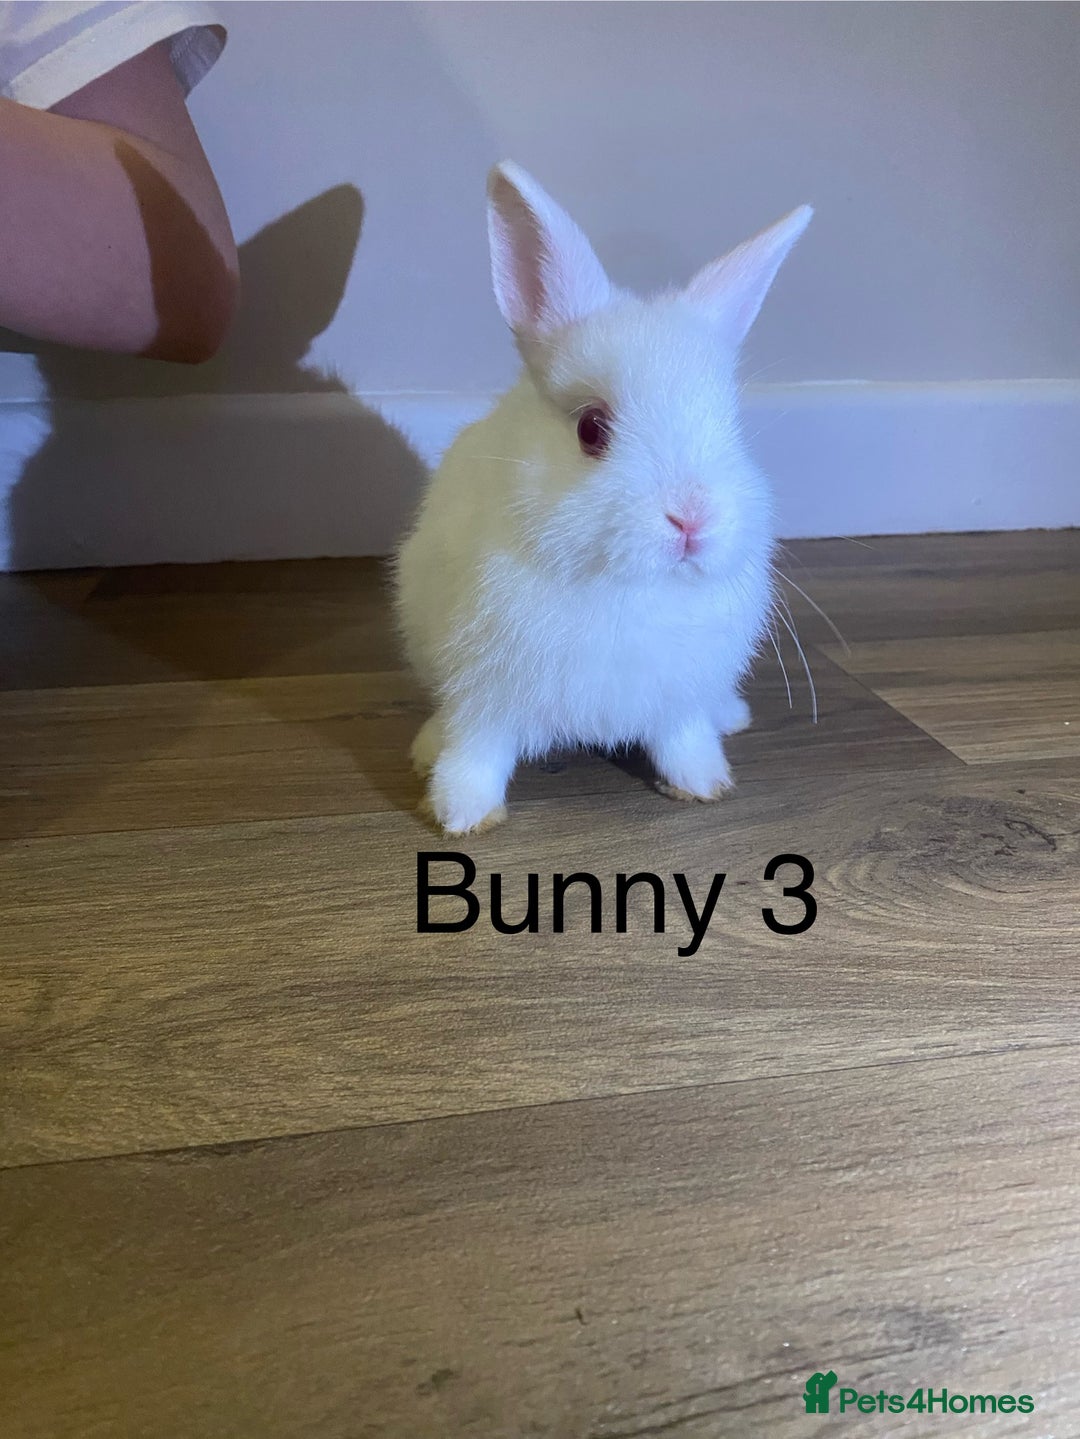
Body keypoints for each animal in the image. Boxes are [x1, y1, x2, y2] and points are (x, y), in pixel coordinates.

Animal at [394, 161, 812, 835]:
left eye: (732, 427)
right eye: (592, 429)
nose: (691, 519)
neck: (625, 585)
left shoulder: (676, 697)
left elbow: (684, 737)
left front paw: (704, 785)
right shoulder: (485, 692)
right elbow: (476, 750)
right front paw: (461, 816)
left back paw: (731, 715)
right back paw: (424, 750)